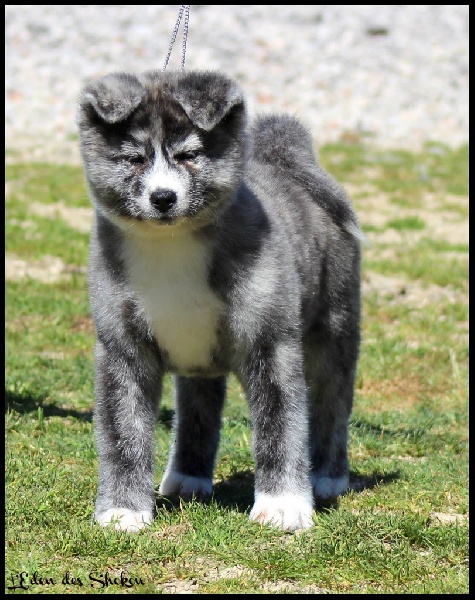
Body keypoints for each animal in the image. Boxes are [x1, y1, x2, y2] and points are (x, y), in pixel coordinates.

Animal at [77, 69, 362, 532]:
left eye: (190, 155)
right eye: (135, 159)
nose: (163, 198)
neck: (171, 244)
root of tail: (289, 161)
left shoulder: (270, 343)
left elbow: (280, 426)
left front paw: (282, 506)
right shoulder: (123, 350)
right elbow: (124, 435)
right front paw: (124, 510)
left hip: (333, 329)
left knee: (331, 405)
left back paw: (327, 477)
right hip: (198, 352)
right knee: (198, 407)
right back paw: (188, 478)